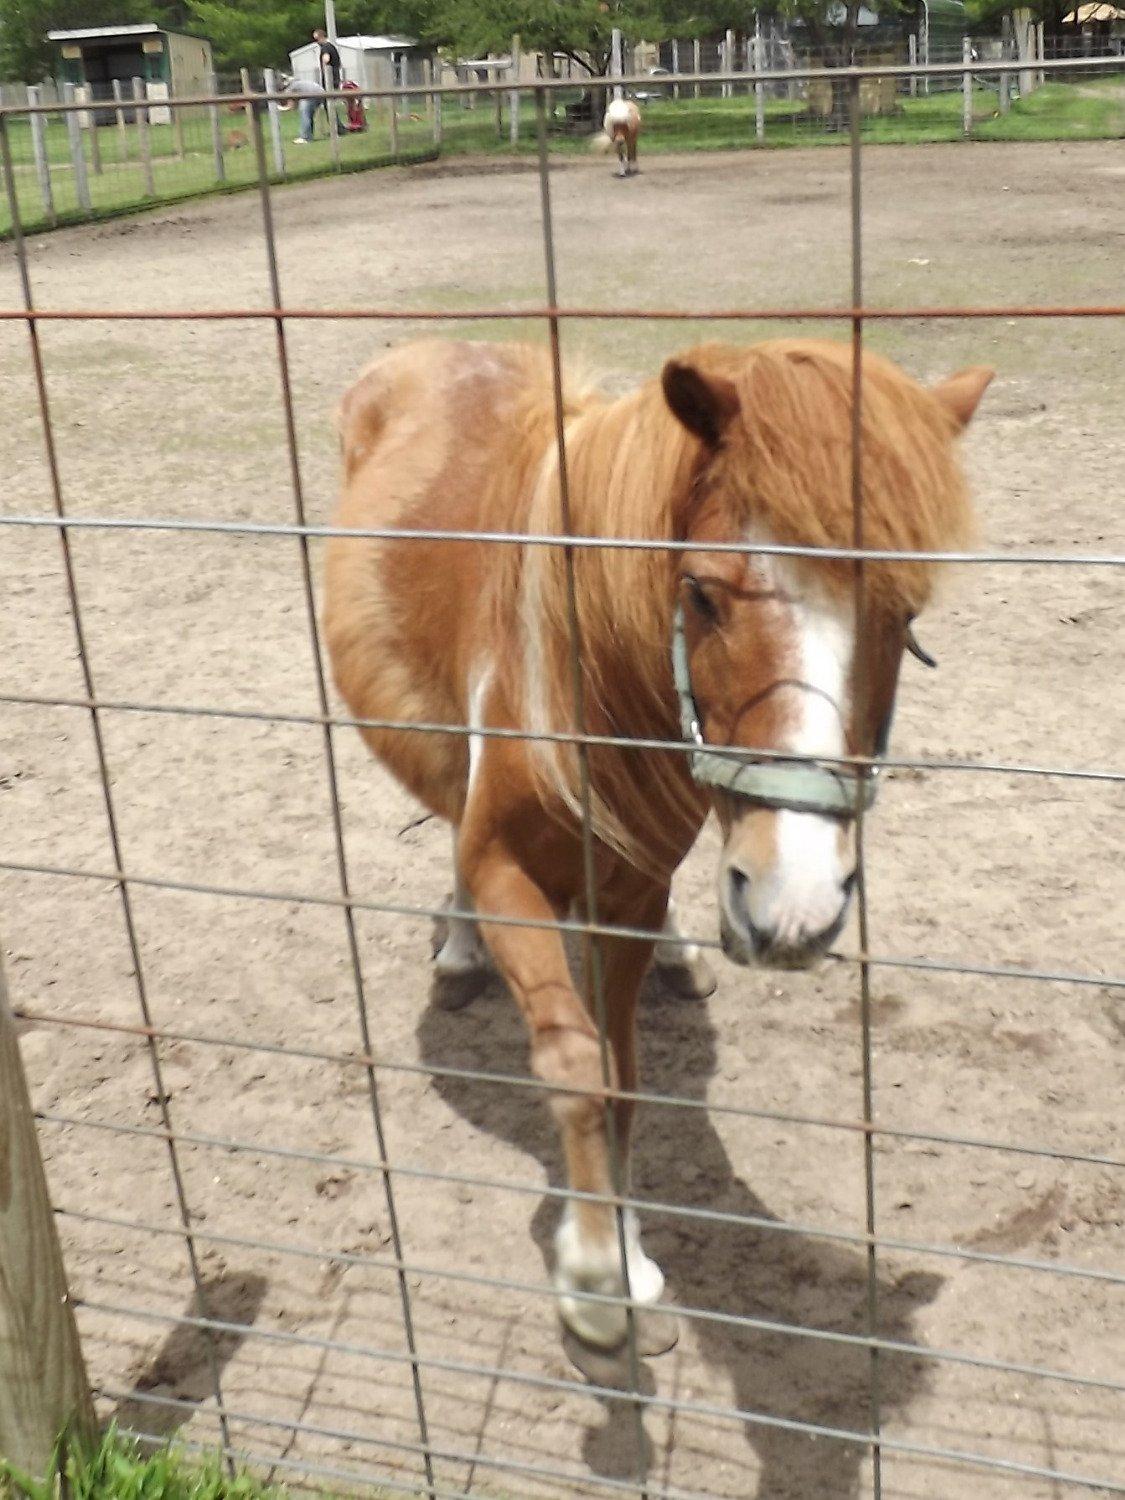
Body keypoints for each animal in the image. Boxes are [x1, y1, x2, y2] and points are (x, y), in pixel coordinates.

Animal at [321, 337, 990, 1350]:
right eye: (702, 594)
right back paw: (461, 948)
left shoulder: (628, 892)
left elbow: (625, 1074)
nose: (795, 903)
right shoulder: (506, 872)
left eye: (903, 615)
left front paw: (623, 1248)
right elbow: (576, 1065)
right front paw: (598, 1279)